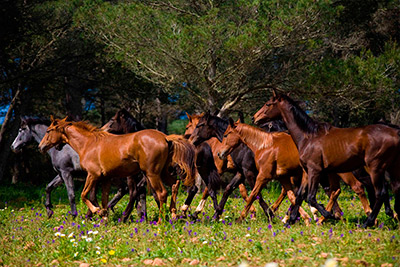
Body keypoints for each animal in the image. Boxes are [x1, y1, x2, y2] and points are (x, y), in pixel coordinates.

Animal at [36, 117, 196, 224]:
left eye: (48, 131)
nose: (40, 147)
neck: (88, 144)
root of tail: (165, 137)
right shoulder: (106, 178)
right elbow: (104, 198)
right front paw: (104, 217)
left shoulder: (92, 175)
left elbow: (84, 195)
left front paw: (97, 212)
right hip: (162, 172)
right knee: (174, 185)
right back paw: (173, 214)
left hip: (152, 174)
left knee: (162, 193)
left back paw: (161, 220)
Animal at [255, 91, 398, 227]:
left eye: (268, 104)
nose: (255, 117)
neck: (308, 136)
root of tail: (394, 132)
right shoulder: (307, 172)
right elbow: (300, 195)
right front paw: (291, 220)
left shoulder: (315, 171)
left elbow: (310, 197)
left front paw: (326, 215)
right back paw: (387, 215)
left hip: (371, 169)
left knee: (377, 192)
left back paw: (368, 221)